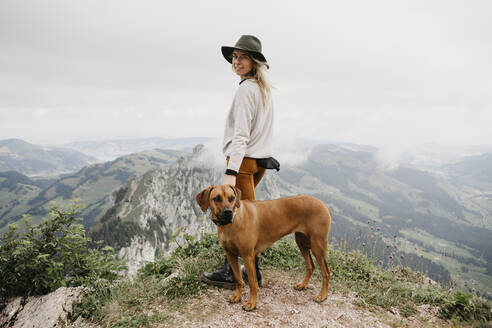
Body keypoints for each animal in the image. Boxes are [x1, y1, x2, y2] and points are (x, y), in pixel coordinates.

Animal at [194, 184, 332, 310]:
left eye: (232, 198)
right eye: (216, 198)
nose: (228, 212)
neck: (233, 222)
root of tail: (324, 205)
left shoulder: (248, 256)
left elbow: (252, 283)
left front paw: (252, 303)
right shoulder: (230, 254)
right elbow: (238, 279)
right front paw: (237, 296)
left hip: (317, 244)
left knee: (326, 272)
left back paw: (323, 295)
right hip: (301, 241)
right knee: (310, 266)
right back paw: (303, 285)